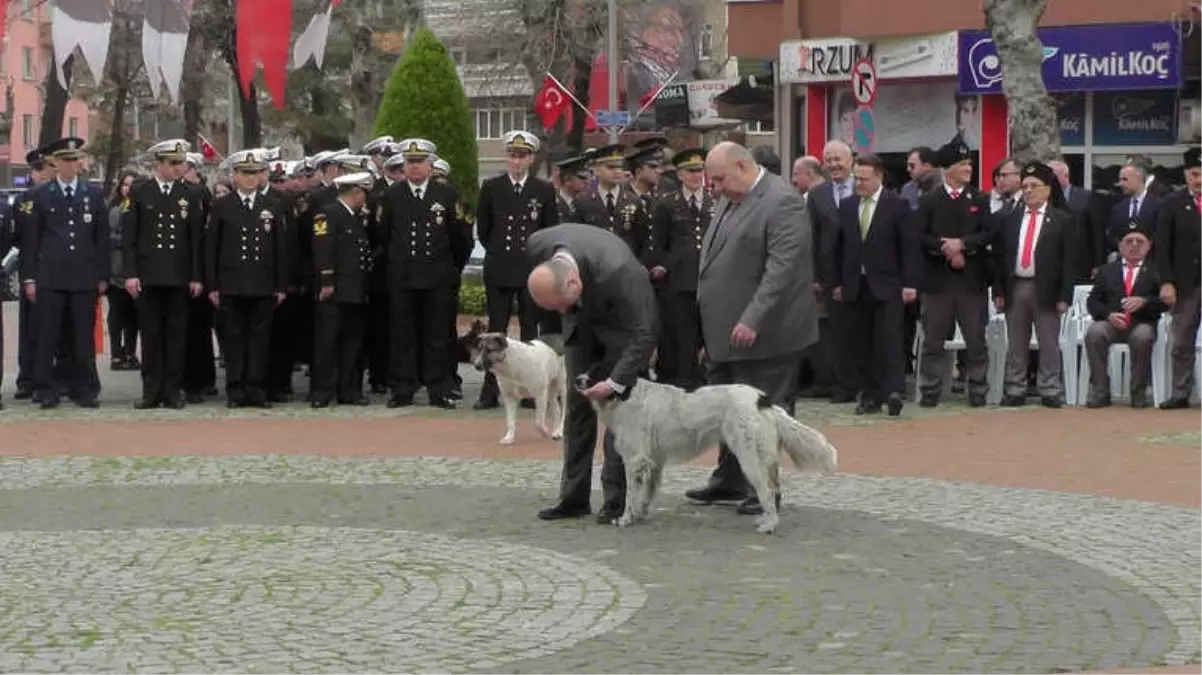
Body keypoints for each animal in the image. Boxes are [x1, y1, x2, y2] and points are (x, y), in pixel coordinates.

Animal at [584, 372, 836, 530]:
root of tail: (761, 399)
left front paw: (625, 519)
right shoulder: (653, 462)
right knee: (773, 489)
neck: (624, 395)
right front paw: (639, 515)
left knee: (765, 490)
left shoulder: (636, 460)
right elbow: (646, 494)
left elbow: (631, 495)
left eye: (597, 371)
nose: (577, 379)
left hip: (749, 457)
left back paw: (769, 526)